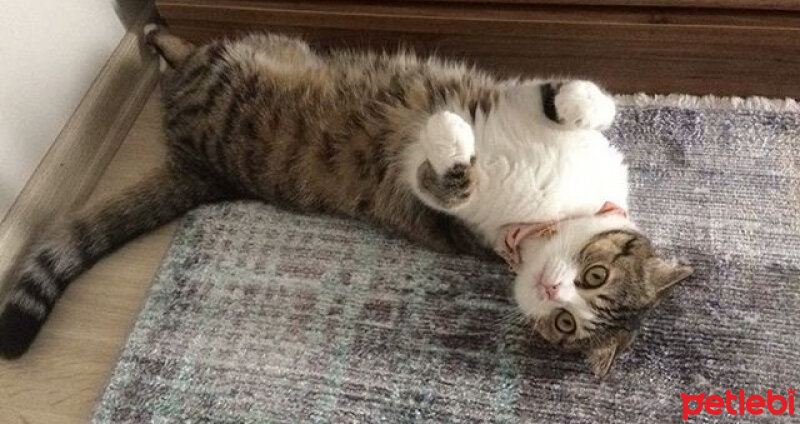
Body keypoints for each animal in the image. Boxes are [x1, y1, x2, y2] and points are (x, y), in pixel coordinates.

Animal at [0, 26, 692, 378]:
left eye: (568, 325)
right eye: (595, 276)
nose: (553, 292)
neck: (553, 213)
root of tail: (198, 167)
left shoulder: (437, 205)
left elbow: (447, 178)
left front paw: (449, 138)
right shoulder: (523, 103)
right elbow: (580, 103)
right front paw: (579, 100)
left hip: (219, 80)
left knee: (188, 59)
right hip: (262, 50)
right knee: (191, 47)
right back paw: (157, 34)